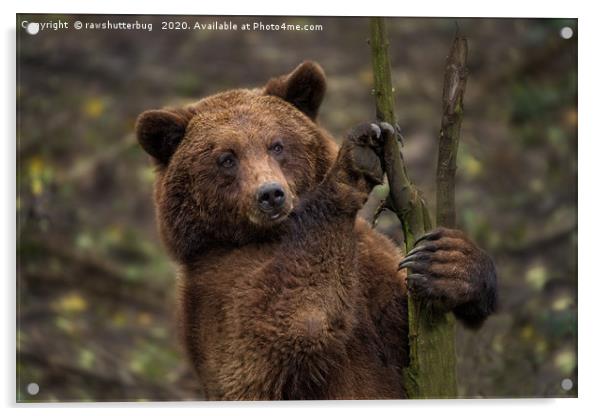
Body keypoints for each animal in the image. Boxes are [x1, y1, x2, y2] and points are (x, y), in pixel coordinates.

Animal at [136, 61, 496, 400]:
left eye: (277, 145)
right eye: (226, 158)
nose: (271, 194)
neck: (275, 235)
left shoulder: (374, 269)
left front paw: (446, 262)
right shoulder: (219, 291)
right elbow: (290, 322)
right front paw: (354, 158)